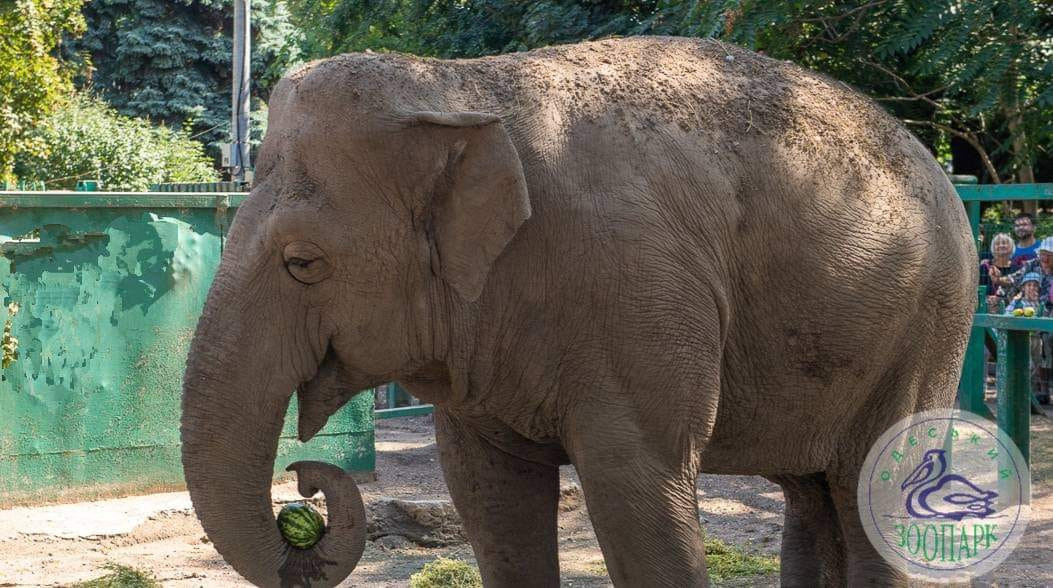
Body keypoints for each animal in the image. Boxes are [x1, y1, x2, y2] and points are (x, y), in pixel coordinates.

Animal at [181, 36, 977, 588]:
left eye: (302, 262)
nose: (305, 486)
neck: (458, 83)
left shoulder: (638, 294)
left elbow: (637, 488)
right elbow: (489, 494)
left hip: (931, 324)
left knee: (871, 486)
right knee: (813, 495)